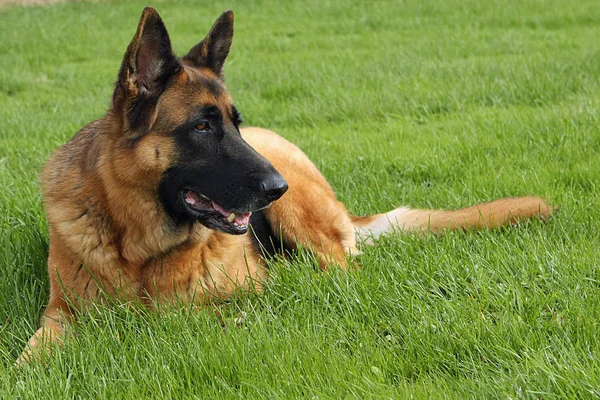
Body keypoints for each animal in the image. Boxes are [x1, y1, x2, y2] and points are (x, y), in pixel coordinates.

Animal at [17, 7, 552, 362]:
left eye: (234, 123)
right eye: (202, 127)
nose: (277, 187)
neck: (139, 248)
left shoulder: (227, 296)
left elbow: (191, 313)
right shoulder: (59, 313)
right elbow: (34, 351)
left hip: (302, 212)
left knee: (342, 271)